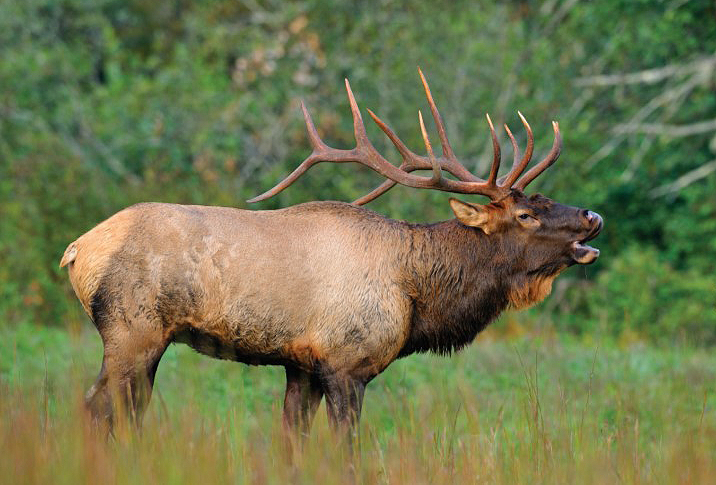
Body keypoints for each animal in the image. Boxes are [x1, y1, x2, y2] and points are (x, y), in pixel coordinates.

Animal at [58, 69, 600, 442]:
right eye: (526, 214)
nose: (592, 215)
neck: (416, 294)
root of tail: (77, 250)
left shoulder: (302, 365)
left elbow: (291, 443)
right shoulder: (346, 363)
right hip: (133, 332)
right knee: (94, 409)